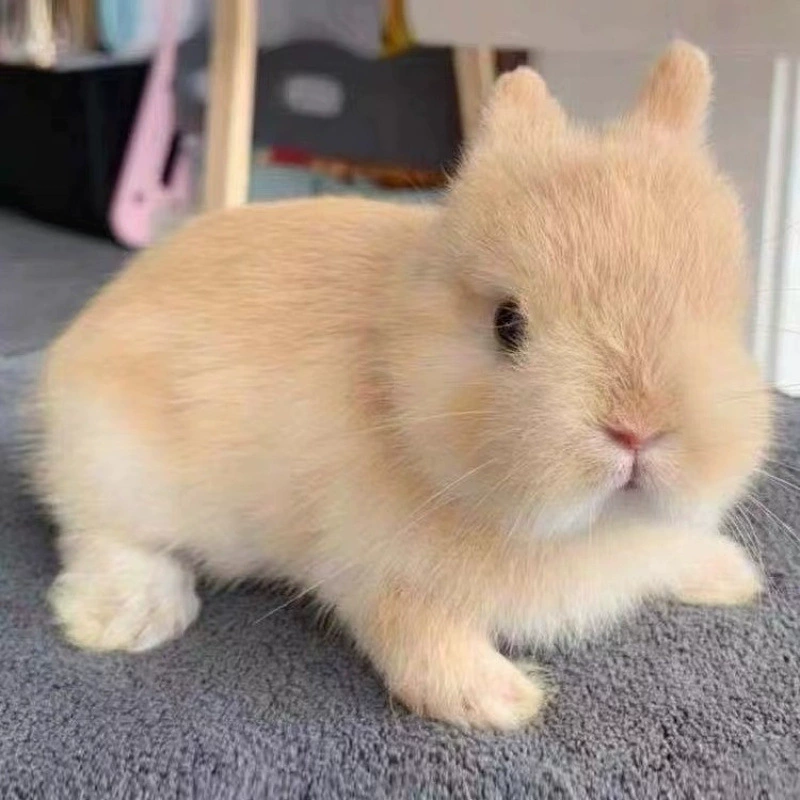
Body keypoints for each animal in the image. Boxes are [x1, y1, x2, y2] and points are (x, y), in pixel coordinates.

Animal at [33, 41, 770, 730]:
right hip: (115, 462)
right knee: (102, 534)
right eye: (507, 324)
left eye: (721, 315)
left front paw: (732, 575)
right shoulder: (376, 570)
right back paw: (129, 618)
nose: (637, 427)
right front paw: (498, 699)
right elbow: (416, 635)